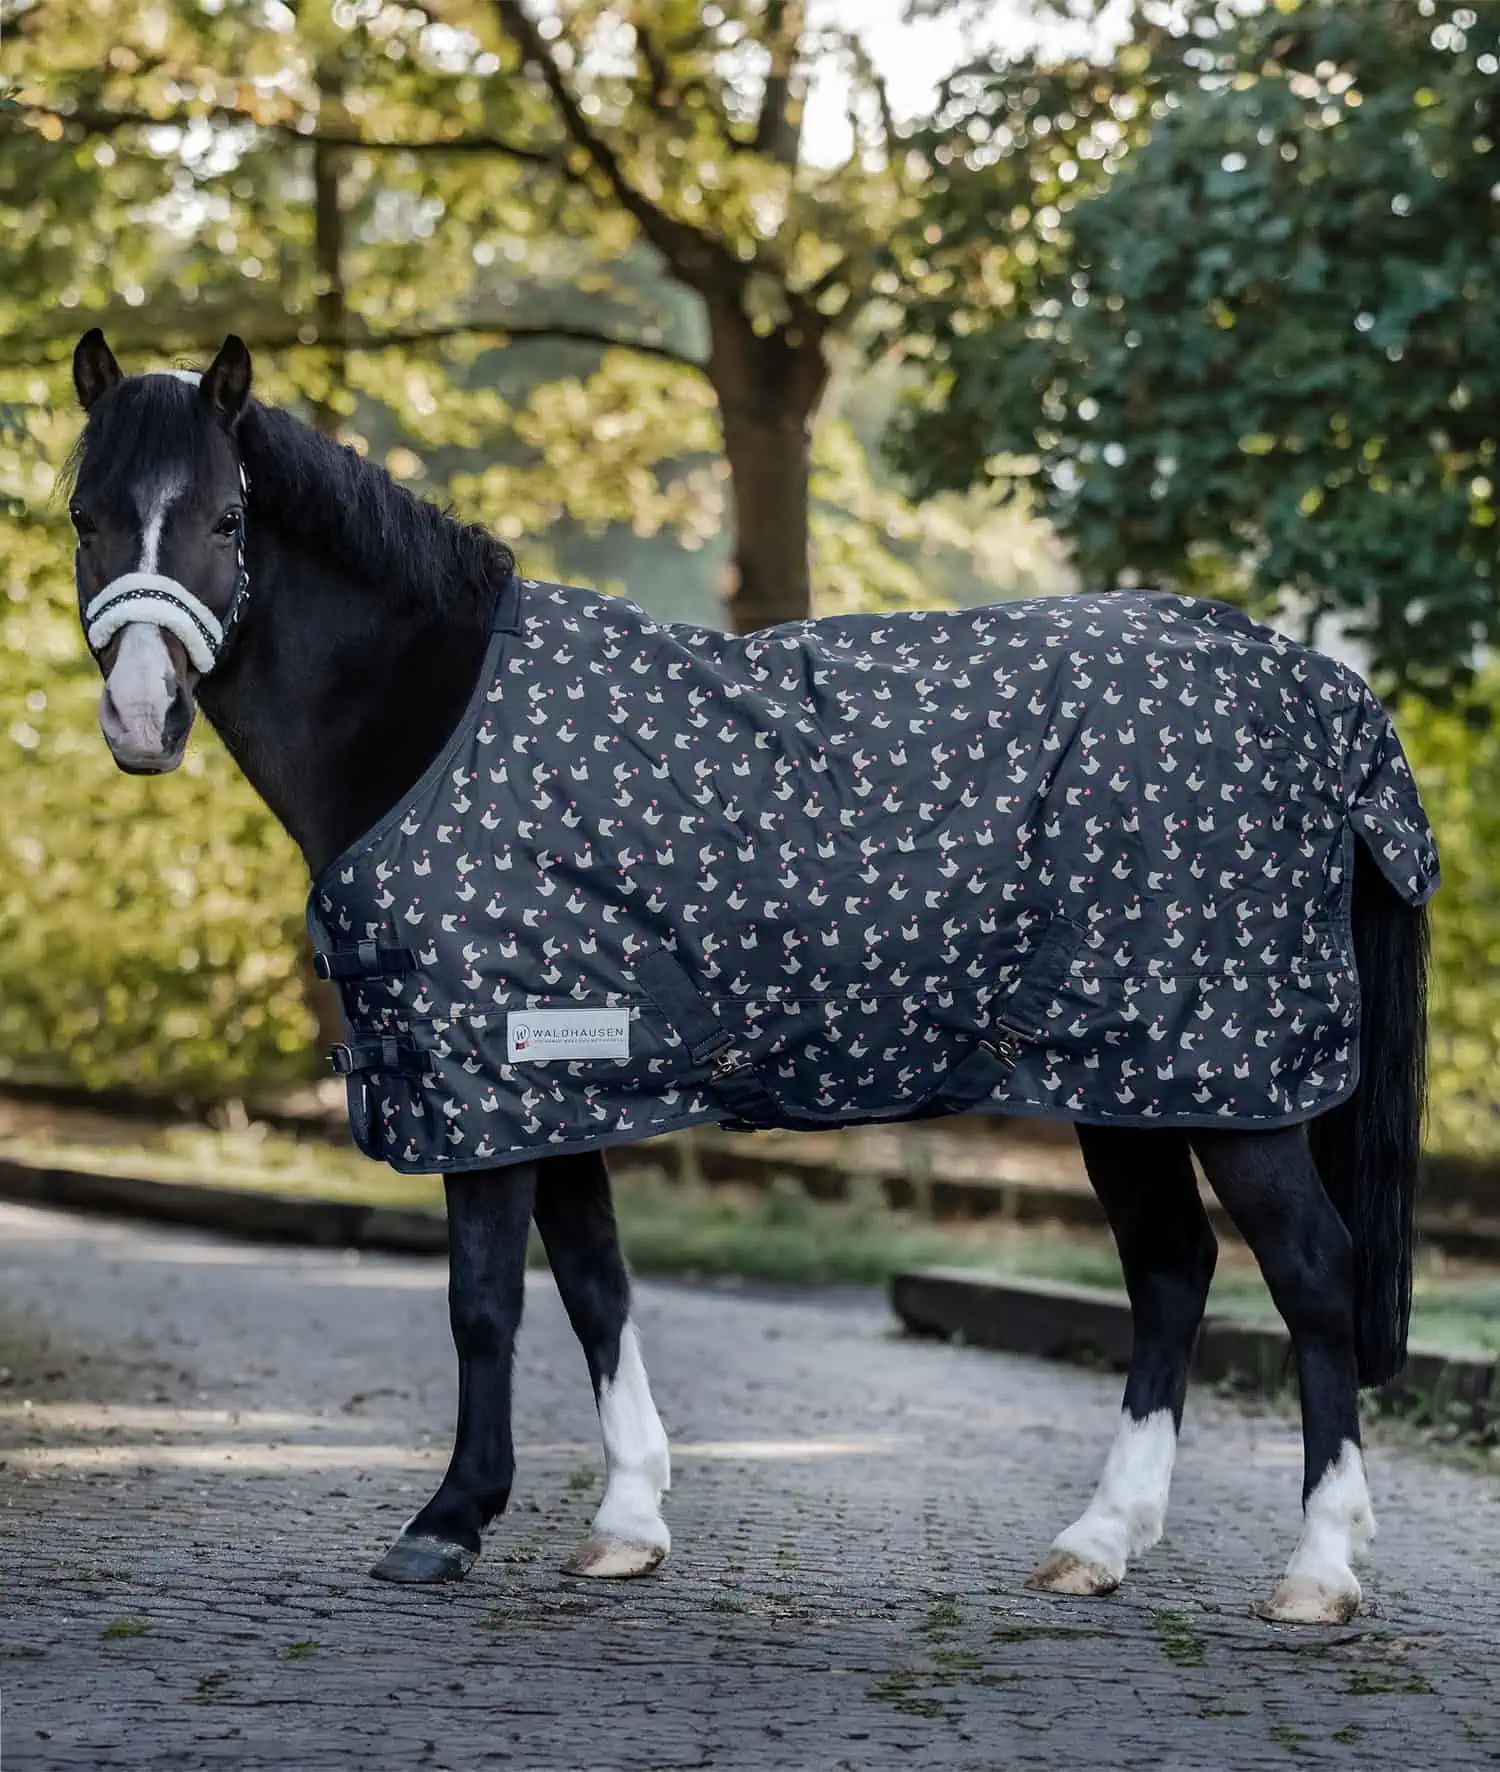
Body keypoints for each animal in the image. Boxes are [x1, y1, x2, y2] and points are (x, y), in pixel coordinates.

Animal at [63, 329, 1433, 1626]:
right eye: (84, 515)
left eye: (225, 520)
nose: (140, 717)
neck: (434, 719)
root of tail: (1319, 689)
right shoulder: (560, 1076)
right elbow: (598, 1287)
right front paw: (627, 1518)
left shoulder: (490, 1083)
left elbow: (484, 1301)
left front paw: (450, 1518)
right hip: (1123, 1078)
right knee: (1170, 1271)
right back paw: (1099, 1543)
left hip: (1228, 1086)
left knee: (1312, 1276)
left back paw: (1317, 1567)